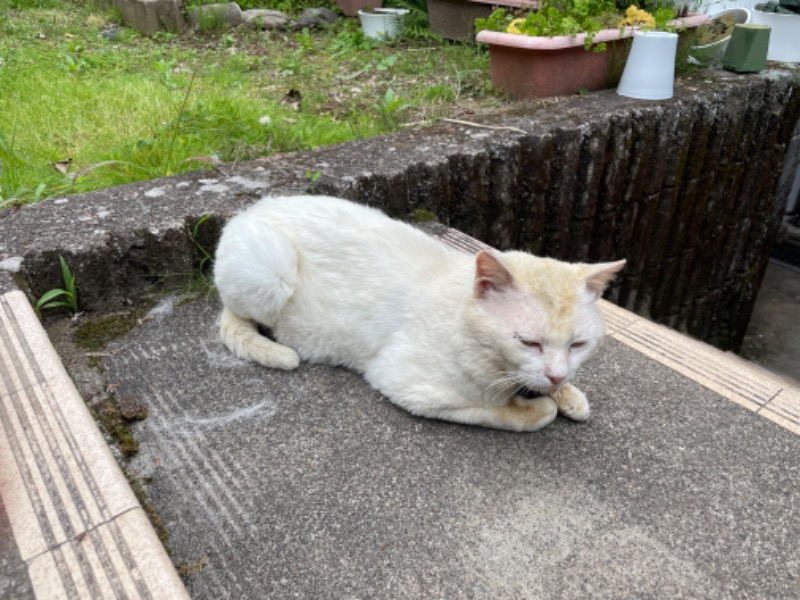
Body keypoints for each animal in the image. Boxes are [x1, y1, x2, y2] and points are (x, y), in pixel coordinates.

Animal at [212, 196, 624, 432]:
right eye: (529, 342)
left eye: (578, 345)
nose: (556, 375)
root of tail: (250, 208)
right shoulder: (409, 385)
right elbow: (512, 412)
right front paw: (539, 404)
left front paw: (567, 394)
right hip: (271, 271)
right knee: (235, 313)